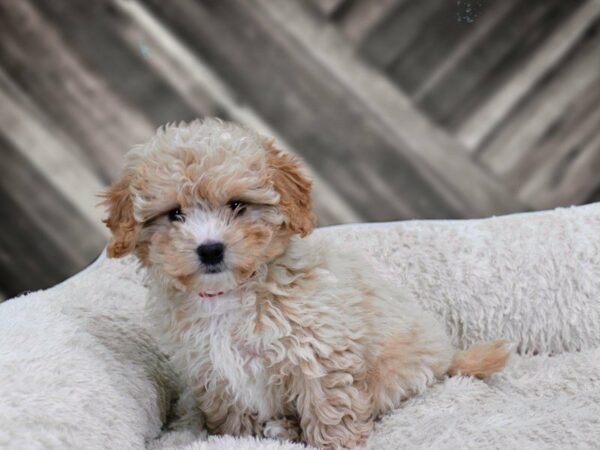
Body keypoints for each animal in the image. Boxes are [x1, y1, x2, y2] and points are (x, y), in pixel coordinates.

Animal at [101, 118, 508, 448]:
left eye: (237, 205)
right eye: (174, 214)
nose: (211, 249)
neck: (231, 294)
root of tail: (446, 357)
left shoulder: (317, 350)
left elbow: (329, 405)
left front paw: (335, 443)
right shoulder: (211, 370)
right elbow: (231, 414)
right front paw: (238, 437)